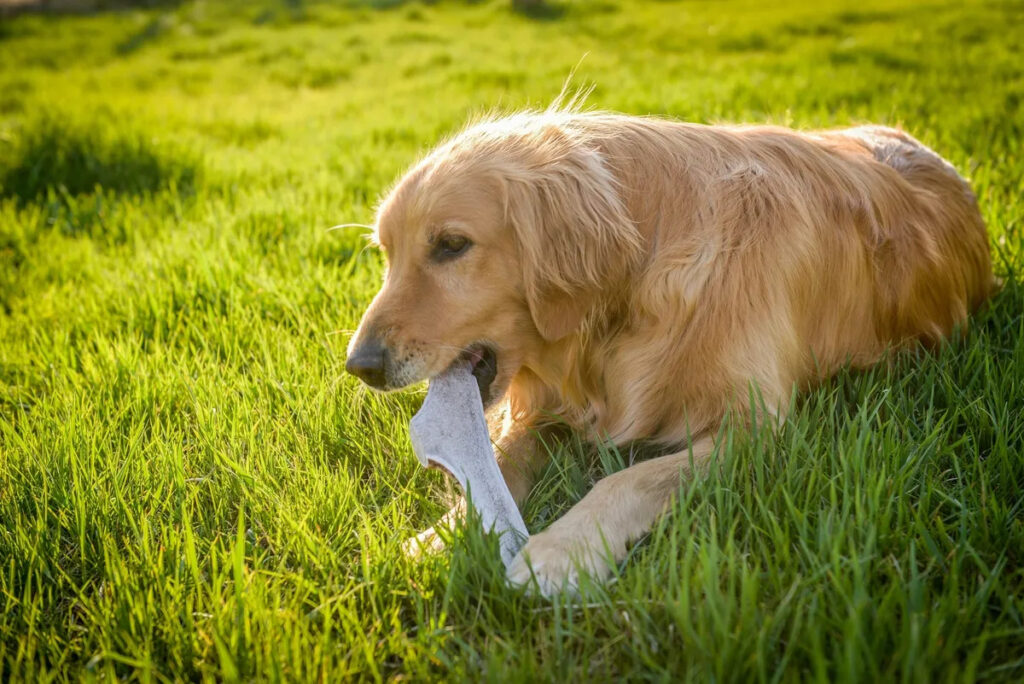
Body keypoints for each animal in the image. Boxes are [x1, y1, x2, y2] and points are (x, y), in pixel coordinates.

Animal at [344, 105, 991, 593]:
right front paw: (436, 538)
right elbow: (497, 465)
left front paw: (562, 549)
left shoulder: (759, 428)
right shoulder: (547, 412)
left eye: (451, 245)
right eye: (386, 252)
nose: (359, 366)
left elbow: (630, 478)